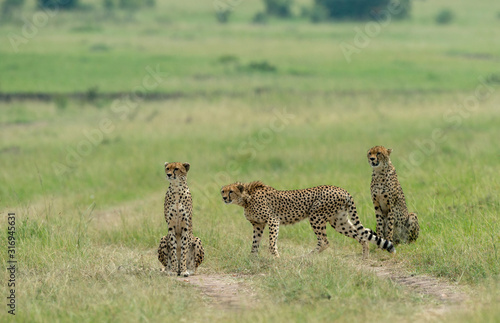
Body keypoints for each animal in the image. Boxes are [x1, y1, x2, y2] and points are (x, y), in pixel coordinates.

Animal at [221, 181, 396, 260]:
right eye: (223, 191)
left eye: (230, 191)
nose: (223, 198)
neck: (246, 198)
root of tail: (341, 189)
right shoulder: (258, 225)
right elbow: (255, 242)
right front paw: (252, 258)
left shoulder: (273, 219)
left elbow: (271, 242)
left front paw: (276, 257)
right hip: (339, 221)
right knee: (362, 235)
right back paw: (364, 257)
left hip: (316, 216)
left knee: (324, 241)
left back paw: (306, 257)